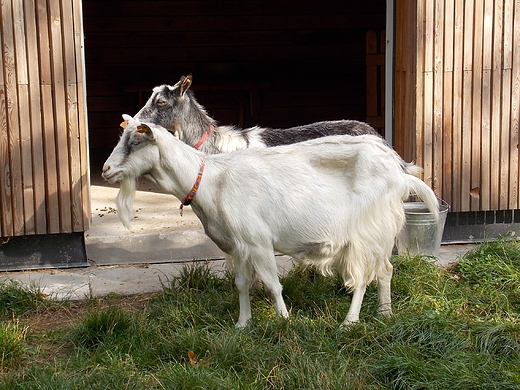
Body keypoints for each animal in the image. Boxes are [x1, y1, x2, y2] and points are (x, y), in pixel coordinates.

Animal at [101, 117, 438, 328]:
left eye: (135, 141)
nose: (105, 170)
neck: (212, 180)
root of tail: (399, 171)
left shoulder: (257, 241)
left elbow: (273, 286)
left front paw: (285, 321)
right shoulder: (236, 246)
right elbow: (242, 284)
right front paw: (242, 324)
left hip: (366, 230)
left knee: (364, 275)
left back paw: (349, 322)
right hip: (379, 232)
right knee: (385, 270)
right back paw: (385, 314)